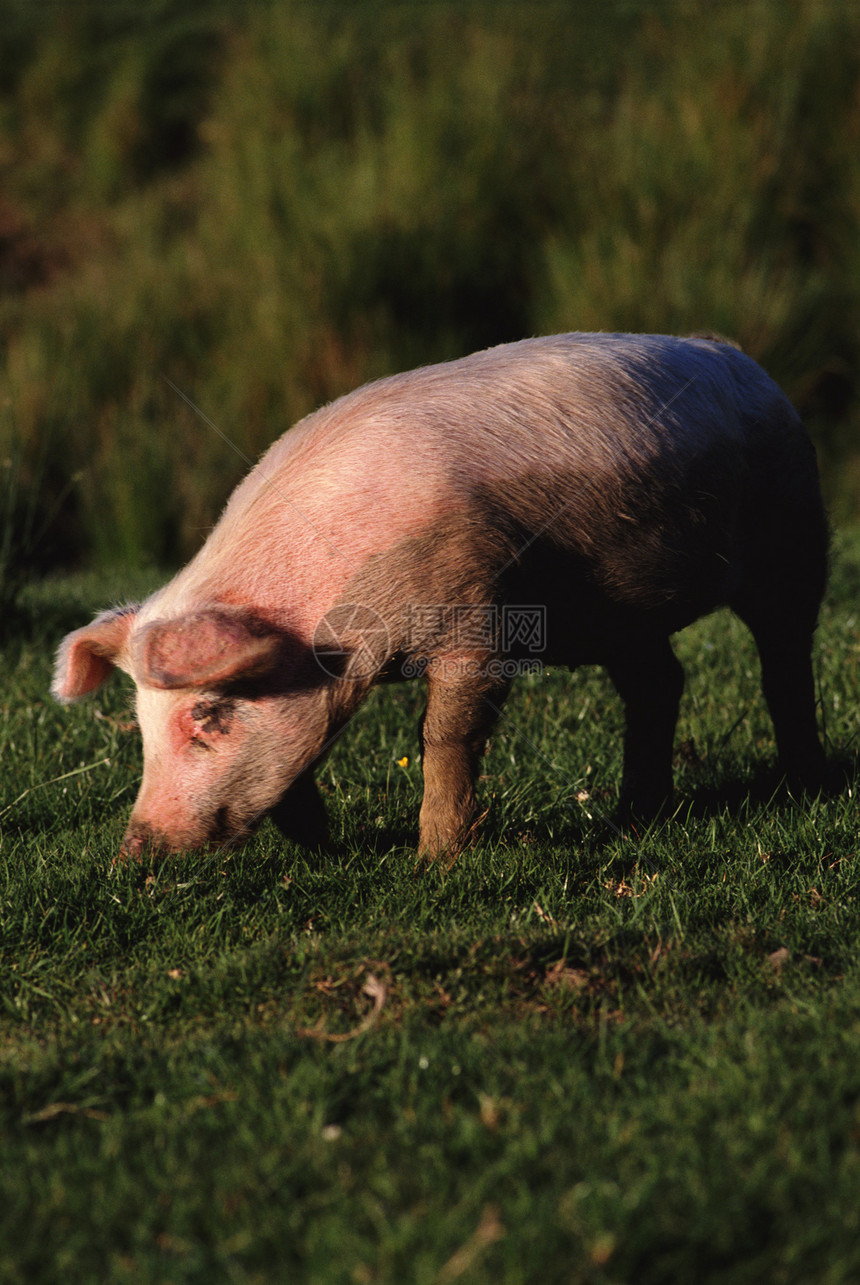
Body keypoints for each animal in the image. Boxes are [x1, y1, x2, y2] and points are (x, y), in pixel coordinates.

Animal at [52, 328, 822, 863]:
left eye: (209, 715)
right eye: (141, 725)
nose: (135, 851)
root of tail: (742, 360)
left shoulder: (477, 611)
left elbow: (443, 734)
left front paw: (435, 860)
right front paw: (323, 847)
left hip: (792, 535)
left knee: (785, 660)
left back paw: (806, 787)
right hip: (619, 612)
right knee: (660, 681)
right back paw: (633, 816)